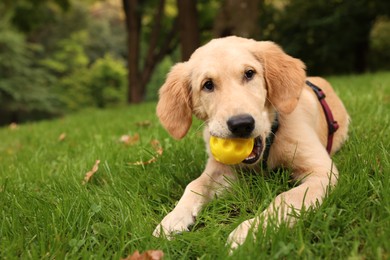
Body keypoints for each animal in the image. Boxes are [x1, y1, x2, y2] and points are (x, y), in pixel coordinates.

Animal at [152, 36, 348, 250]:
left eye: (249, 73)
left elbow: (285, 199)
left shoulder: (321, 171)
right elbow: (195, 184)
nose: (241, 124)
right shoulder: (222, 170)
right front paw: (173, 219)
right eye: (207, 85)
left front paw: (249, 232)